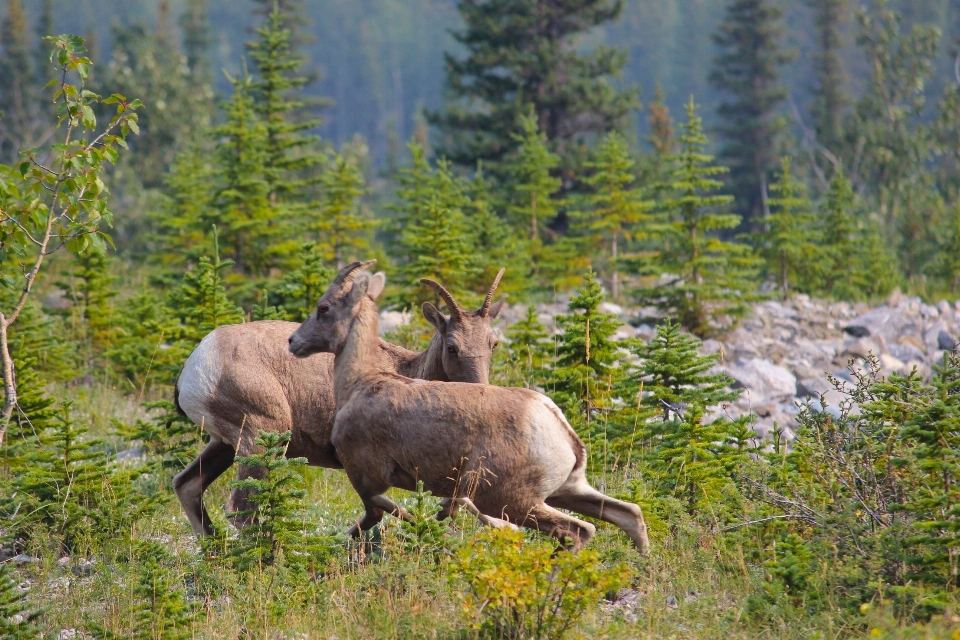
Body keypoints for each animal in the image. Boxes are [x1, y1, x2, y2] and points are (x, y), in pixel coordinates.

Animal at [172, 264, 506, 536]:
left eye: (492, 343)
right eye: (452, 347)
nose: (482, 390)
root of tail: (197, 365)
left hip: (226, 445)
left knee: (187, 485)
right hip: (261, 439)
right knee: (242, 513)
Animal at [288, 262, 648, 552]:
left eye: (323, 307)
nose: (294, 342)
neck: (360, 382)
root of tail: (558, 427)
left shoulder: (367, 477)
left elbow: (378, 513)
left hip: (514, 500)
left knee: (578, 530)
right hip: (568, 490)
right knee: (629, 514)